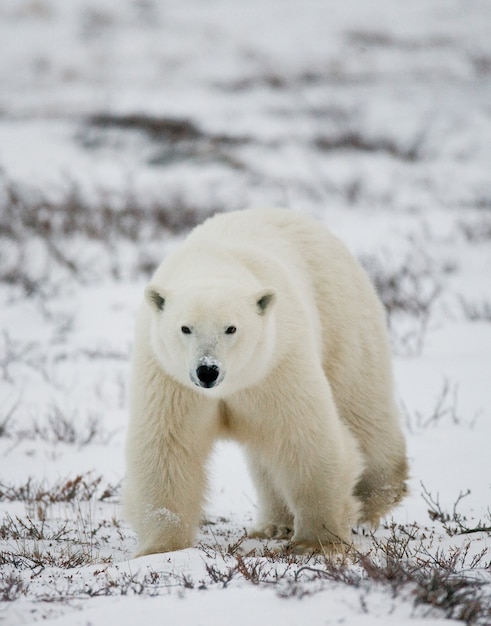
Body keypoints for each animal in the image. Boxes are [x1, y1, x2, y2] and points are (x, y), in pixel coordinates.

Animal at [125, 207, 410, 552]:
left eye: (231, 328)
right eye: (185, 328)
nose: (207, 370)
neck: (214, 262)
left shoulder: (276, 364)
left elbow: (304, 437)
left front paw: (316, 541)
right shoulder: (169, 377)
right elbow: (167, 447)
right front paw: (162, 548)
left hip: (344, 319)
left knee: (362, 410)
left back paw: (373, 496)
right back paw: (273, 524)